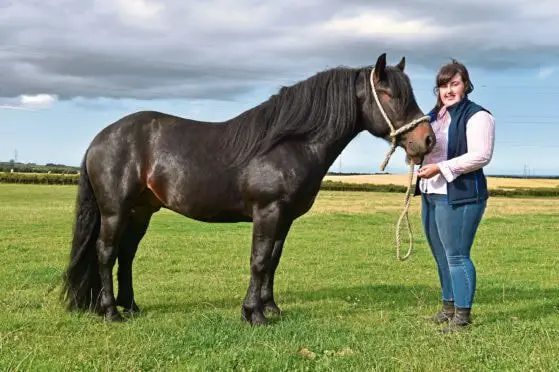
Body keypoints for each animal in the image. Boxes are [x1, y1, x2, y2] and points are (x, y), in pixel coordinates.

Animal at [62, 53, 438, 326]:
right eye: (389, 94)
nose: (427, 140)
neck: (289, 144)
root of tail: (101, 138)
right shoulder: (267, 212)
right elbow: (258, 260)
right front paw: (253, 314)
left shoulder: (284, 218)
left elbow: (273, 260)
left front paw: (271, 308)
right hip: (115, 210)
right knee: (106, 253)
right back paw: (111, 312)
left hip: (141, 211)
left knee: (126, 254)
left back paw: (131, 306)